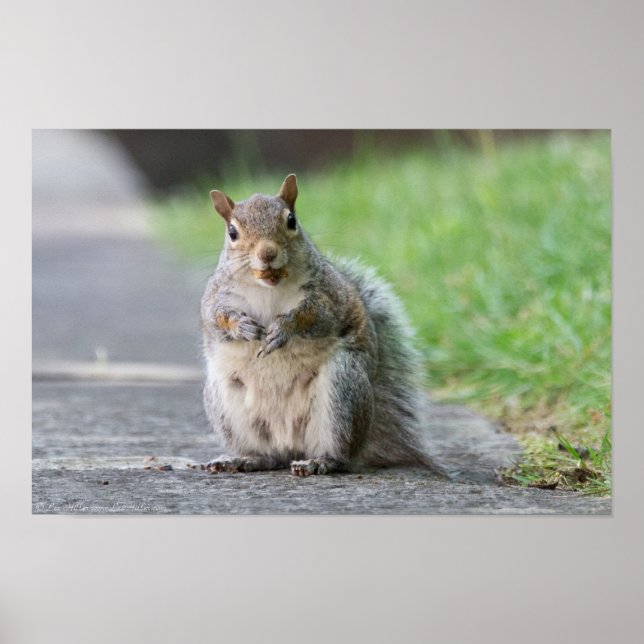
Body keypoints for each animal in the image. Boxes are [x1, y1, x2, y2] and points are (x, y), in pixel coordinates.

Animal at [200, 174, 442, 477]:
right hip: (227, 404)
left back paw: (320, 462)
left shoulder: (329, 296)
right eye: (232, 232)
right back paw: (245, 459)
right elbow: (214, 319)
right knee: (269, 456)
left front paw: (284, 329)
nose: (267, 253)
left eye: (291, 220)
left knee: (339, 455)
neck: (268, 286)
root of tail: (290, 445)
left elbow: (316, 316)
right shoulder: (215, 297)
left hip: (342, 389)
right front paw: (241, 327)